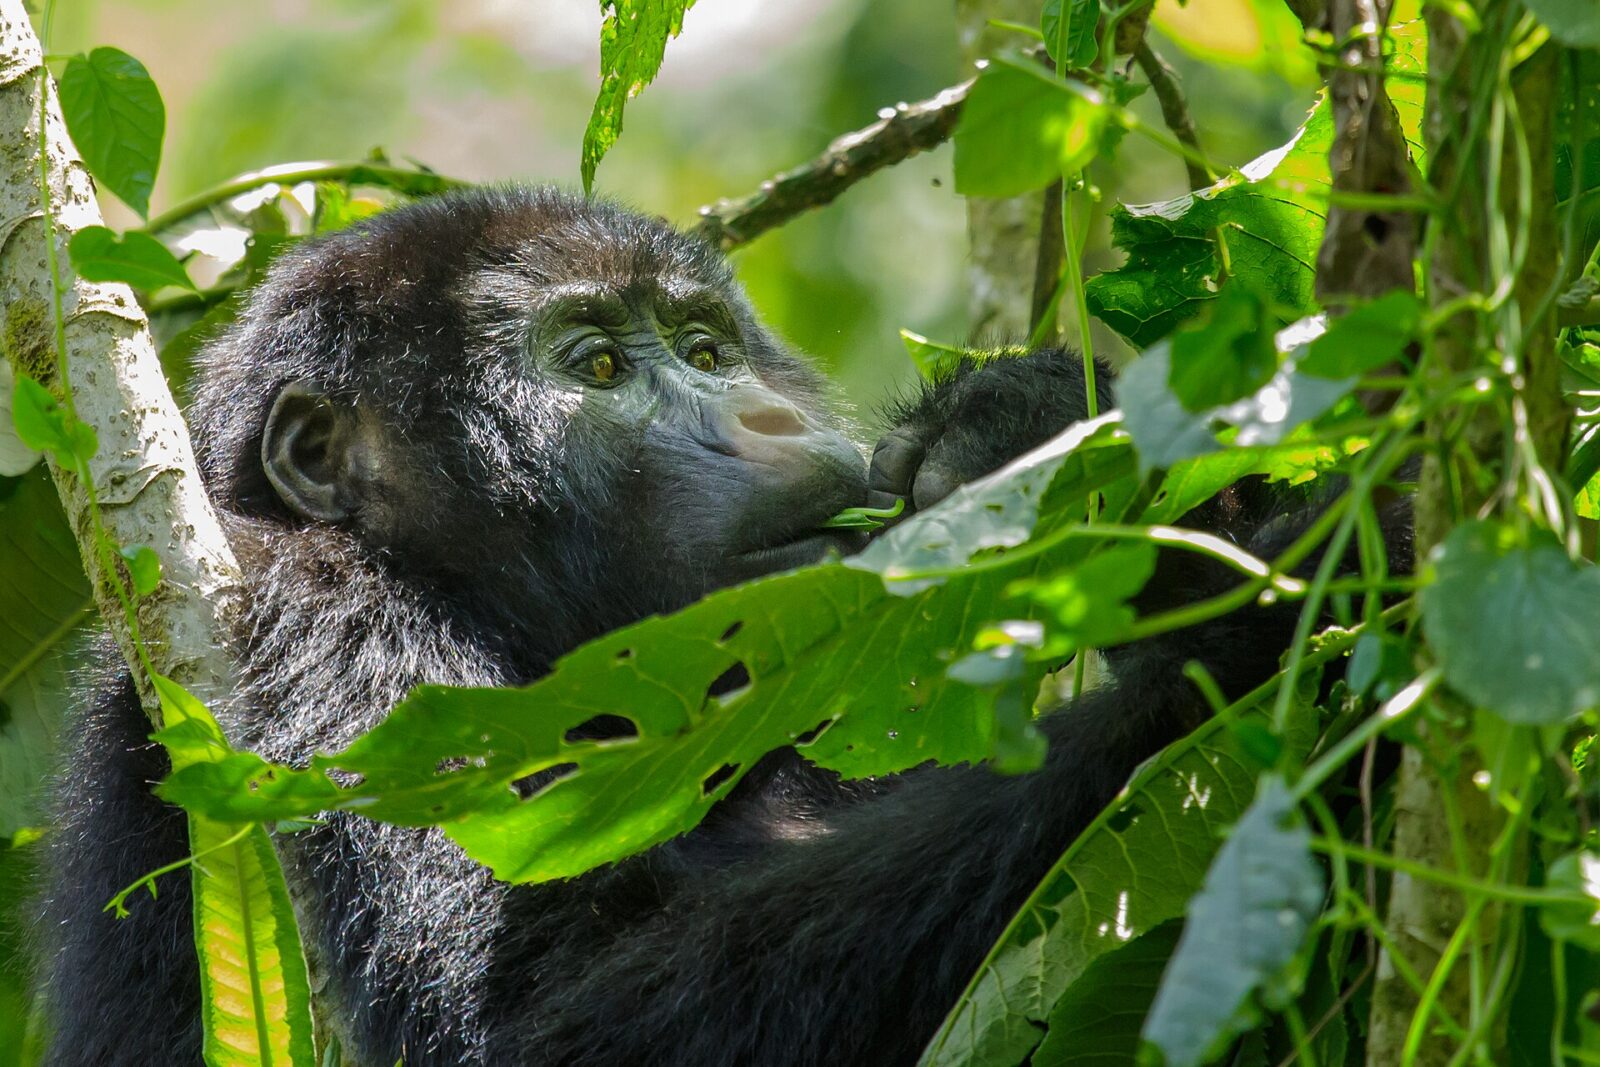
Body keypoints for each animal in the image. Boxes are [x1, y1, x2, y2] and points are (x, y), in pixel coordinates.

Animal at [37, 186, 1407, 1065]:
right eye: (596, 367)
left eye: (703, 345)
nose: (767, 416)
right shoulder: (317, 622)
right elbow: (535, 1022)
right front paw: (1274, 628)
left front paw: (1033, 432)